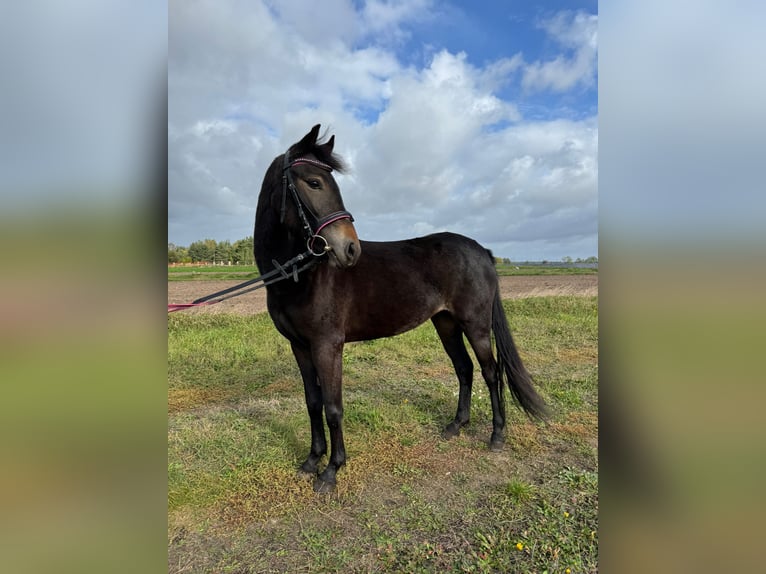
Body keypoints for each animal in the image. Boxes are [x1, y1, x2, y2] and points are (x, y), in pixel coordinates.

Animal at [254, 124, 547, 493]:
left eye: (328, 182)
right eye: (314, 182)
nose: (350, 249)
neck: (300, 276)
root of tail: (482, 251)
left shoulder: (327, 346)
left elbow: (333, 407)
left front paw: (332, 470)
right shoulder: (300, 347)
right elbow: (313, 402)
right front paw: (311, 461)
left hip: (476, 324)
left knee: (490, 373)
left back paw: (496, 436)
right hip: (446, 323)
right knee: (464, 369)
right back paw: (456, 426)